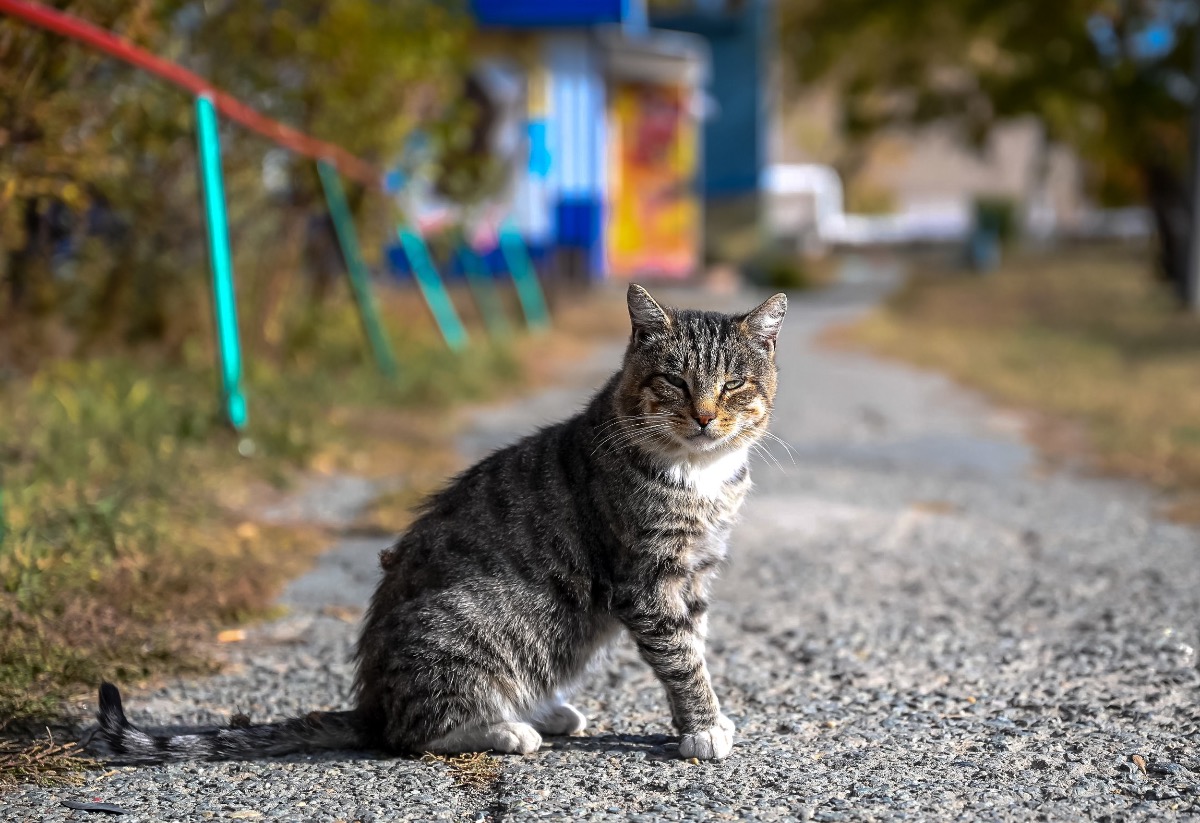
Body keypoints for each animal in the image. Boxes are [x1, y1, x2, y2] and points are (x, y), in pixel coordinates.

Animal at [88, 286, 792, 763]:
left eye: (734, 385)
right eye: (674, 381)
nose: (705, 416)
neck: (700, 475)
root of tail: (370, 705)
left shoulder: (696, 573)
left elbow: (695, 645)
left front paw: (704, 717)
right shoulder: (649, 581)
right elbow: (681, 657)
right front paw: (701, 726)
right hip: (464, 627)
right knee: (415, 733)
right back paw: (508, 728)